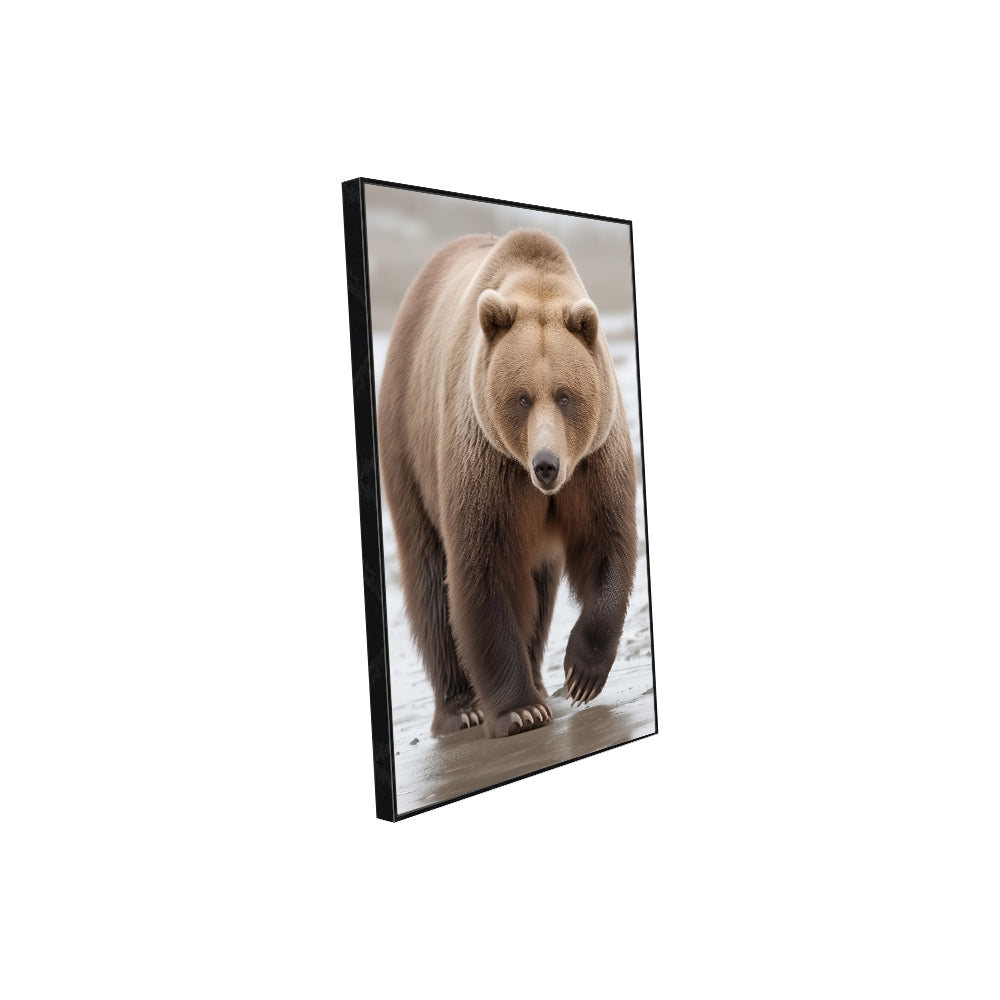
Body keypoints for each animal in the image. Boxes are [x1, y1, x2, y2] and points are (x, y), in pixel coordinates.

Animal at [378, 229, 638, 739]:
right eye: (521, 398)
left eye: (565, 395)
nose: (546, 465)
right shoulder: (486, 460)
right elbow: (485, 568)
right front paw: (519, 711)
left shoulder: (594, 461)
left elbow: (605, 545)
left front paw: (580, 675)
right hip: (408, 445)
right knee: (428, 578)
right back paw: (463, 708)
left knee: (540, 587)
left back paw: (539, 681)